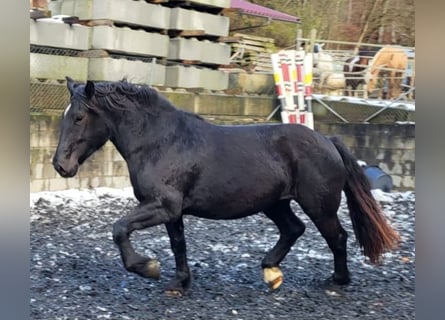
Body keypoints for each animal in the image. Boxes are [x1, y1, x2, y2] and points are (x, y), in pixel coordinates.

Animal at [52, 77, 398, 296]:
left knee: (337, 237)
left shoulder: (162, 206)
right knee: (294, 229)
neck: (160, 142)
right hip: (275, 203)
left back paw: (337, 280)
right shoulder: (172, 211)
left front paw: (147, 267)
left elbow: (120, 228)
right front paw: (179, 282)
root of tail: (328, 140)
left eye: (79, 117)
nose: (60, 165)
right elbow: (178, 245)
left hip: (319, 206)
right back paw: (271, 272)